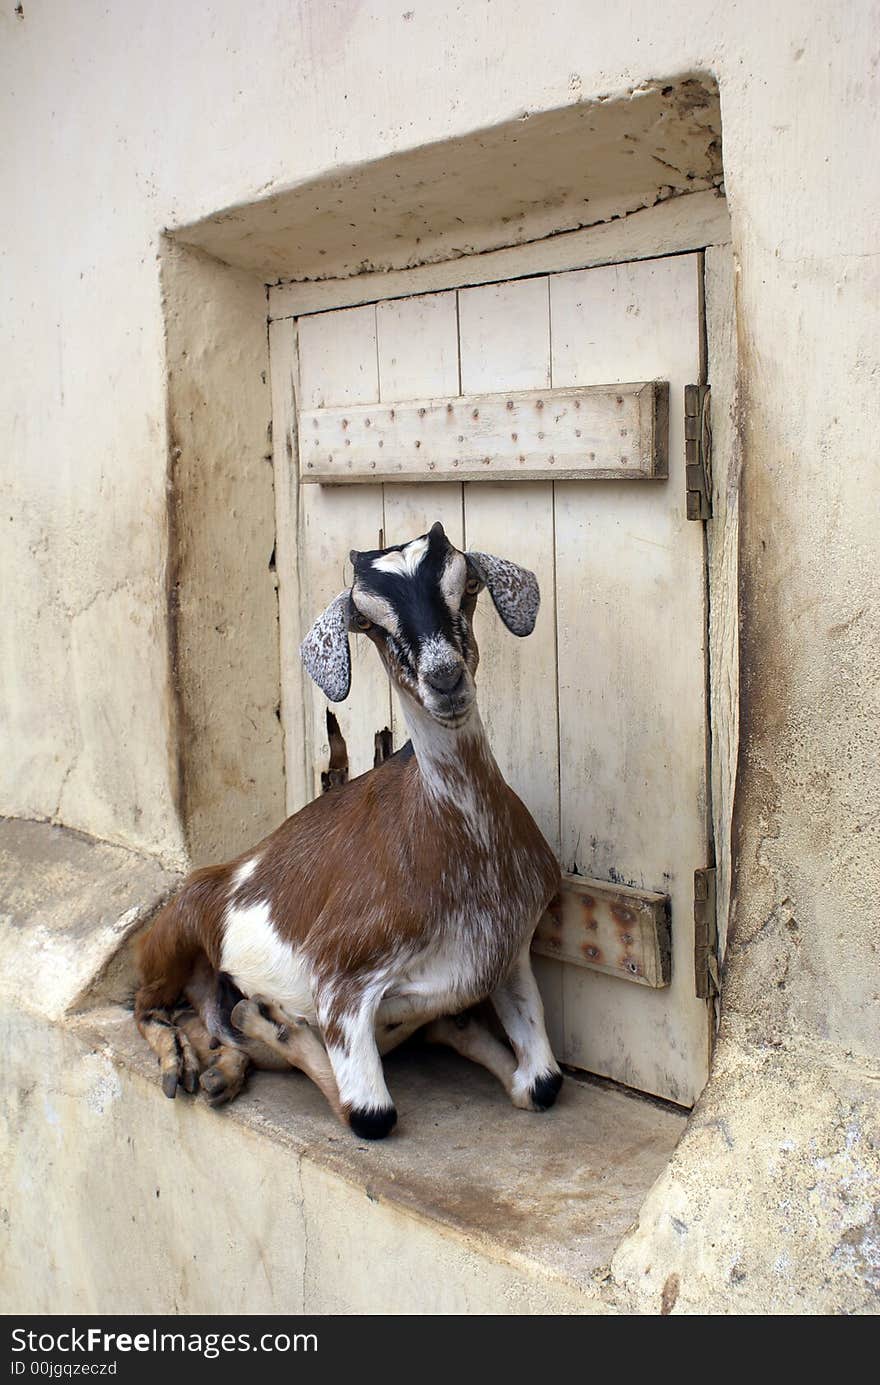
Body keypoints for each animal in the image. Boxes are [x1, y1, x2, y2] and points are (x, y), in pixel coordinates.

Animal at [137, 520, 565, 1135]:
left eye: (466, 588)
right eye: (371, 622)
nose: (445, 679)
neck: (466, 854)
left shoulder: (508, 958)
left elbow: (541, 1084)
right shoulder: (341, 984)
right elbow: (368, 1114)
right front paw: (271, 1017)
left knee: (202, 1021)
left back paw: (220, 1071)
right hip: (173, 932)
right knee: (150, 1006)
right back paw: (200, 1054)